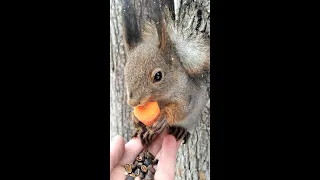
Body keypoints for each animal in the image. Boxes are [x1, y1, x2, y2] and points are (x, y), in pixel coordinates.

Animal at [121, 0, 209, 145]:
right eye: (125, 72)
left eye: (158, 76)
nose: (132, 102)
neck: (160, 99)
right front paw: (134, 117)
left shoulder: (188, 95)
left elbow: (182, 108)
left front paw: (164, 116)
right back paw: (143, 132)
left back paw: (180, 130)